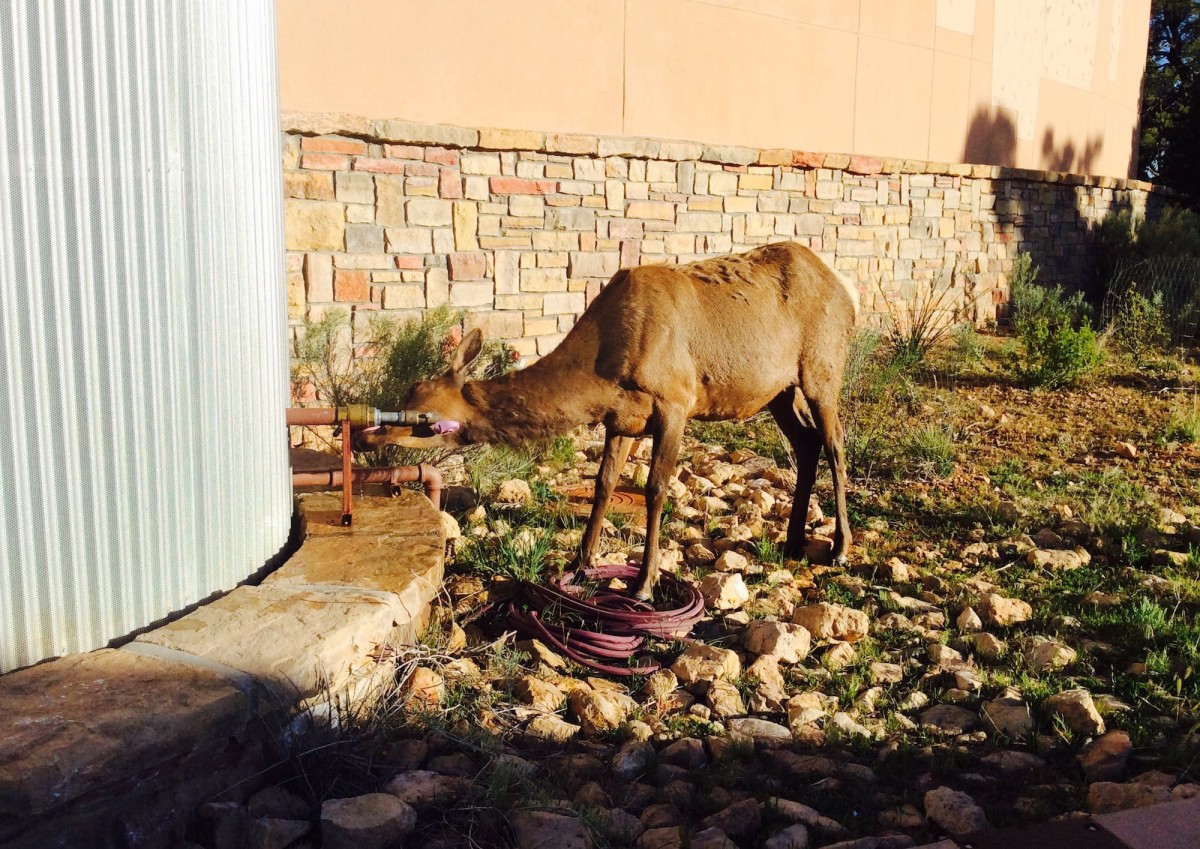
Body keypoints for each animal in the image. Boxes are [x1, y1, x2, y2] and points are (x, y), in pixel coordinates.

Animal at [360, 238, 859, 599]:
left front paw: (644, 582)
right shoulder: (621, 418)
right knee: (807, 443)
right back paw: (793, 539)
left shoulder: (676, 399)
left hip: (823, 366)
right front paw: (581, 564)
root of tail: (847, 290)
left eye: (425, 415)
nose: (369, 436)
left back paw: (839, 547)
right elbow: (603, 485)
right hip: (777, 389)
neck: (602, 374)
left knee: (835, 443)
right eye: (408, 391)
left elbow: (655, 490)